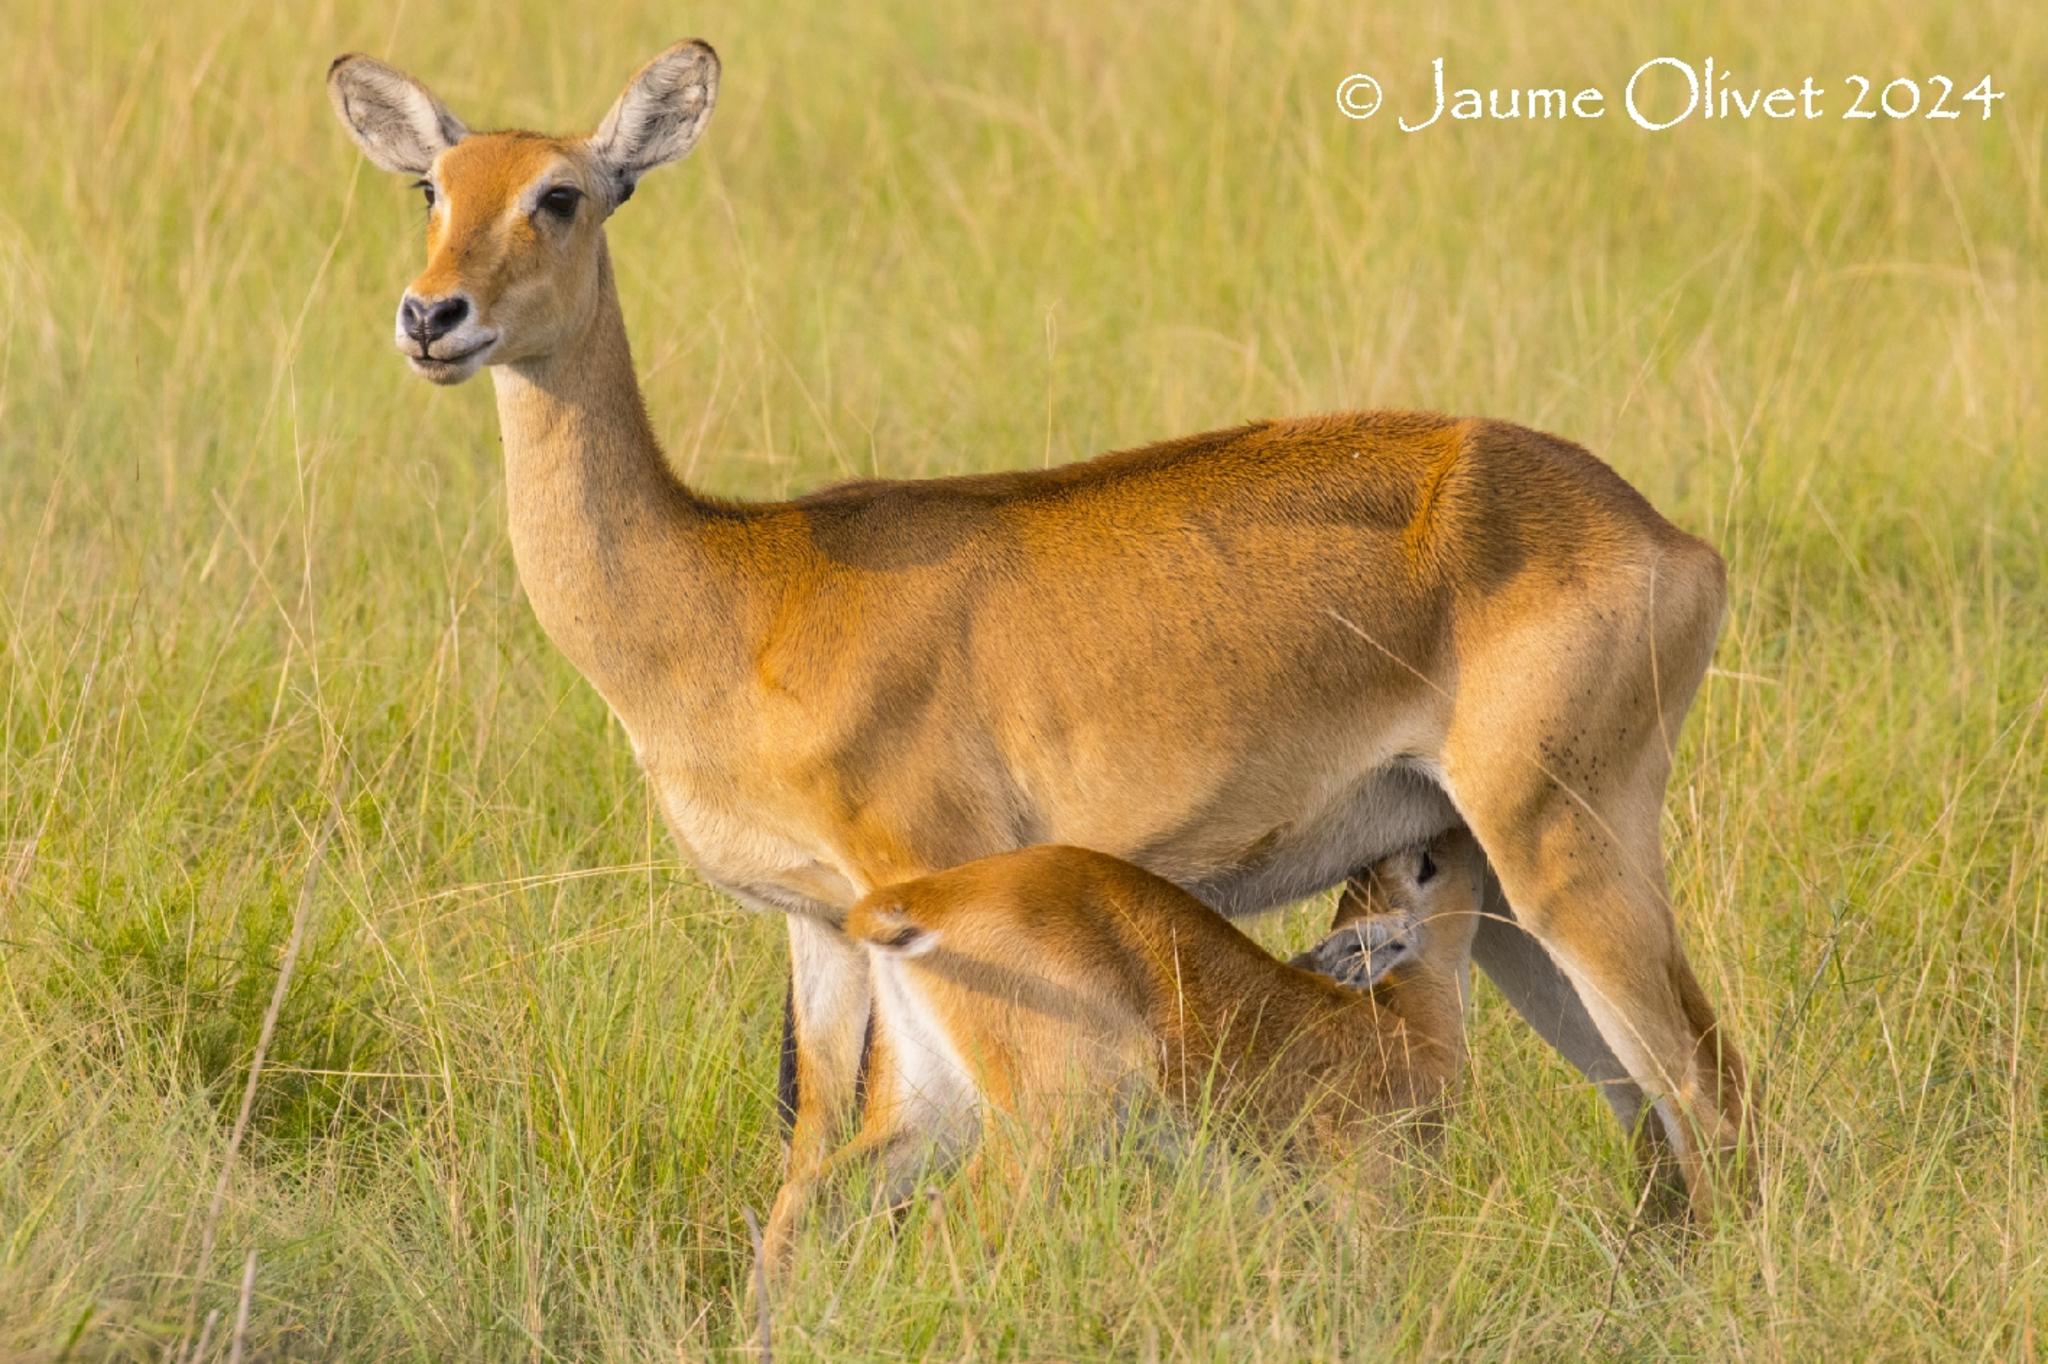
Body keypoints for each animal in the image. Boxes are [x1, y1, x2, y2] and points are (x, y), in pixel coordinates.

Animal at [331, 39, 1744, 1212]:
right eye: (431, 188)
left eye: (563, 192)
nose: (432, 317)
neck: (740, 589)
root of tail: (1660, 532)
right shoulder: (813, 926)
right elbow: (805, 1160)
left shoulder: (920, 876)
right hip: (1494, 885)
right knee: (1652, 1117)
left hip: (1568, 848)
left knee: (1708, 1094)